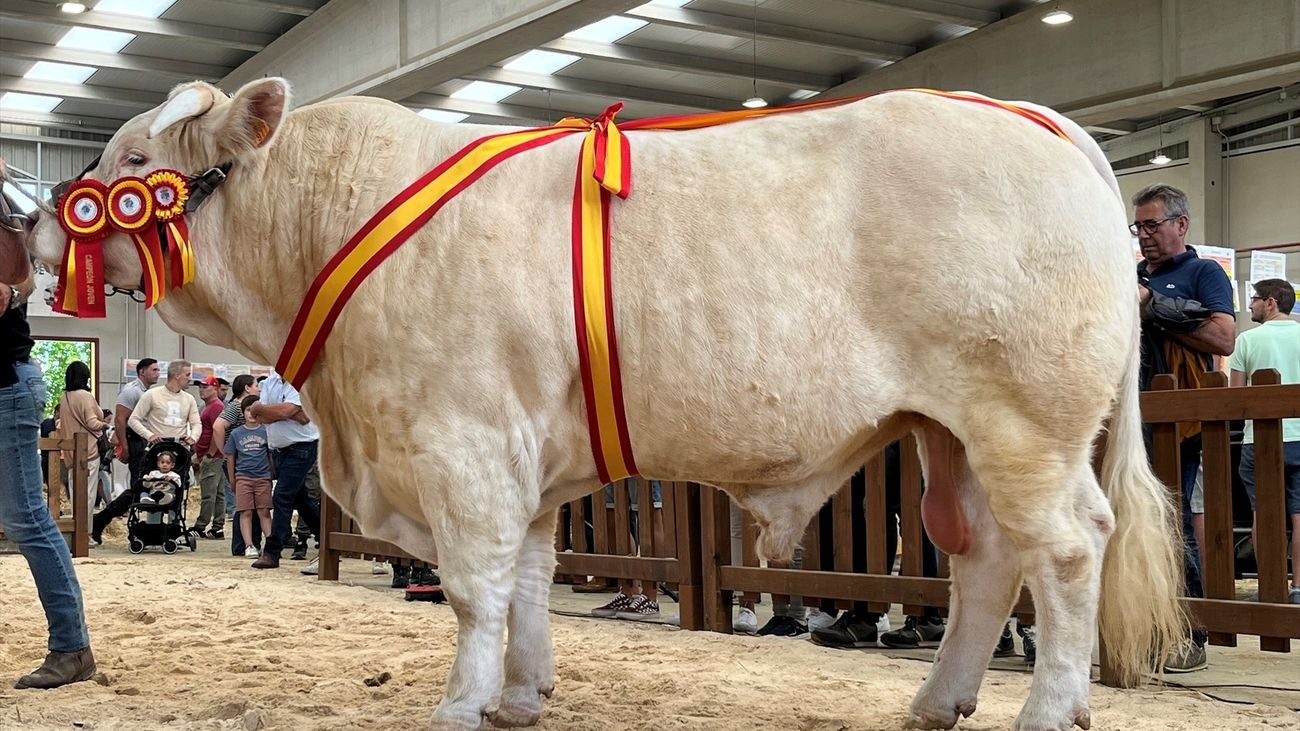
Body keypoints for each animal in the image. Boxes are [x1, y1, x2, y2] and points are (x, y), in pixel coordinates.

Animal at [25, 79, 1190, 728]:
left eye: (135, 163)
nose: (37, 221)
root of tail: (1033, 118)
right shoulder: (525, 459)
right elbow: (532, 581)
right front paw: (519, 696)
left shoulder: (463, 446)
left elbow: (475, 589)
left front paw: (458, 703)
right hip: (951, 434)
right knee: (985, 560)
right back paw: (938, 702)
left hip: (1024, 424)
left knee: (1067, 551)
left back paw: (1049, 709)